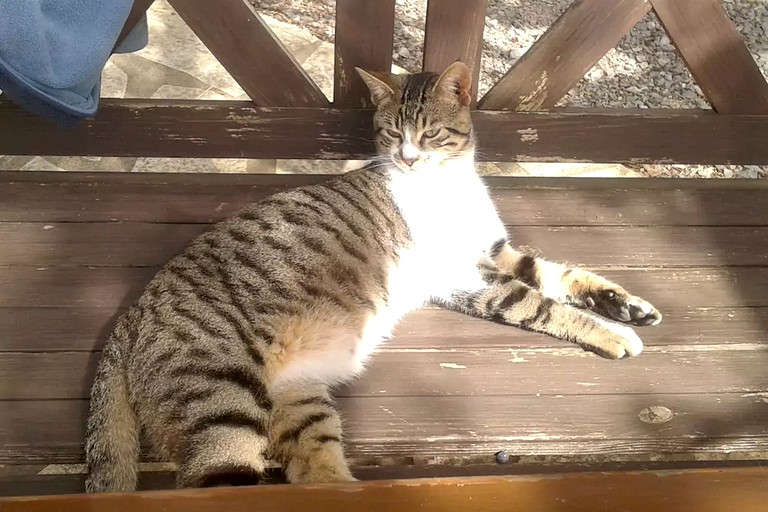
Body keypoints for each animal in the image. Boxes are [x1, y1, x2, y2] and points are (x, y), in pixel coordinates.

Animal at [82, 60, 660, 492]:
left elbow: (562, 275)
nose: (407, 157)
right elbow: (543, 303)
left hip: (298, 399)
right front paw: (615, 334)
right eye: (390, 132)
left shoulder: (497, 253)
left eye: (430, 133)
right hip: (222, 407)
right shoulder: (469, 279)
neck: (448, 184)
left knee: (313, 471)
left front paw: (628, 307)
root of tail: (131, 316)